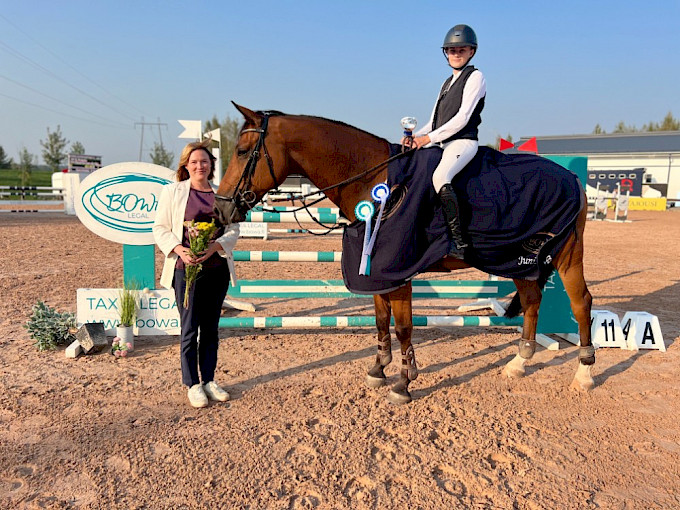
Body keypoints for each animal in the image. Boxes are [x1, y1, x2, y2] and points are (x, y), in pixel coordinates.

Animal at [214, 103, 595, 404]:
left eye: (244, 151)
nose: (220, 210)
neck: (377, 180)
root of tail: (573, 178)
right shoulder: (376, 270)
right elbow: (382, 321)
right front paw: (378, 369)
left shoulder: (399, 272)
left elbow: (403, 328)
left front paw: (404, 382)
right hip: (521, 261)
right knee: (532, 300)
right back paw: (519, 363)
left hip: (566, 257)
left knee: (581, 303)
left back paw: (584, 373)